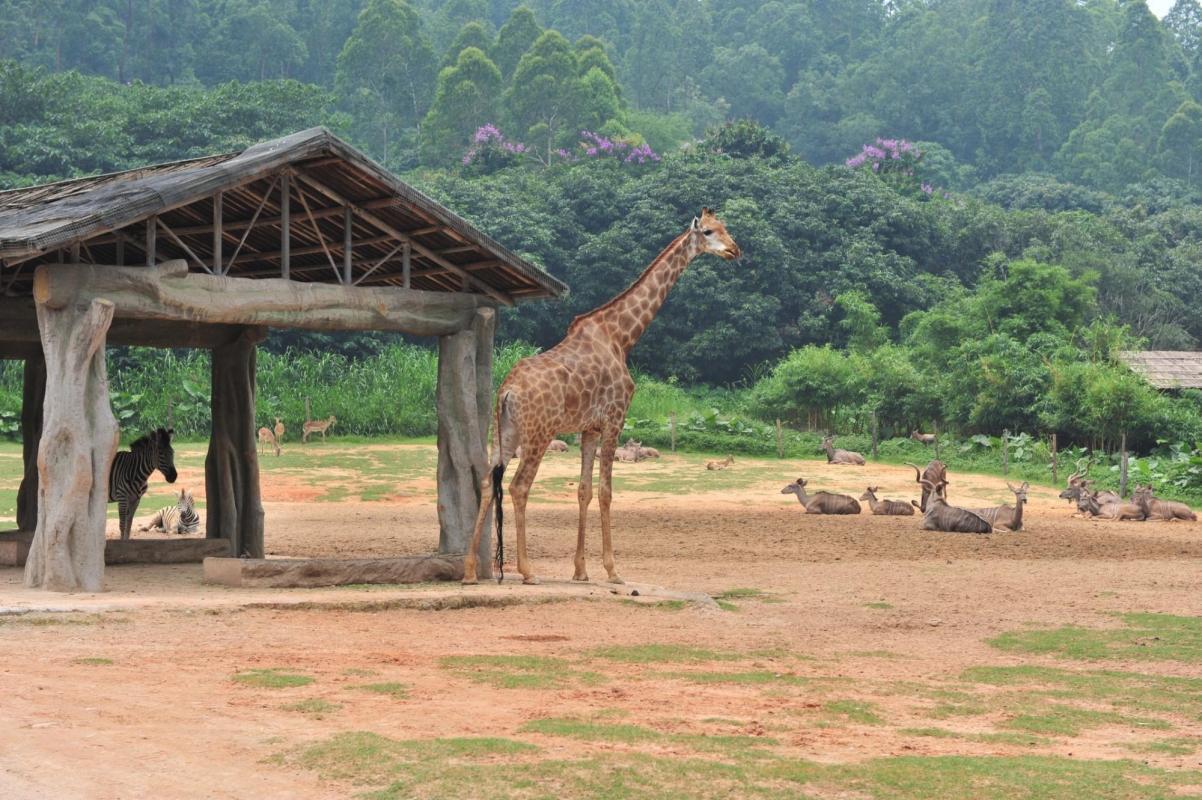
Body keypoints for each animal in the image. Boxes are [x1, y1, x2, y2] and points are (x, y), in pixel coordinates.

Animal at [461, 205, 735, 583]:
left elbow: (583, 490)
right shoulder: (615, 419)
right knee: (518, 486)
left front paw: (581, 570)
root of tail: (506, 391)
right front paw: (612, 570)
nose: (734, 250)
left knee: (489, 483)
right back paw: (528, 571)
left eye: (725, 228)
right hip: (538, 433)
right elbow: (606, 491)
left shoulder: (588, 428)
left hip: (505, 432)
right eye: (708, 231)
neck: (621, 337)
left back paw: (470, 570)